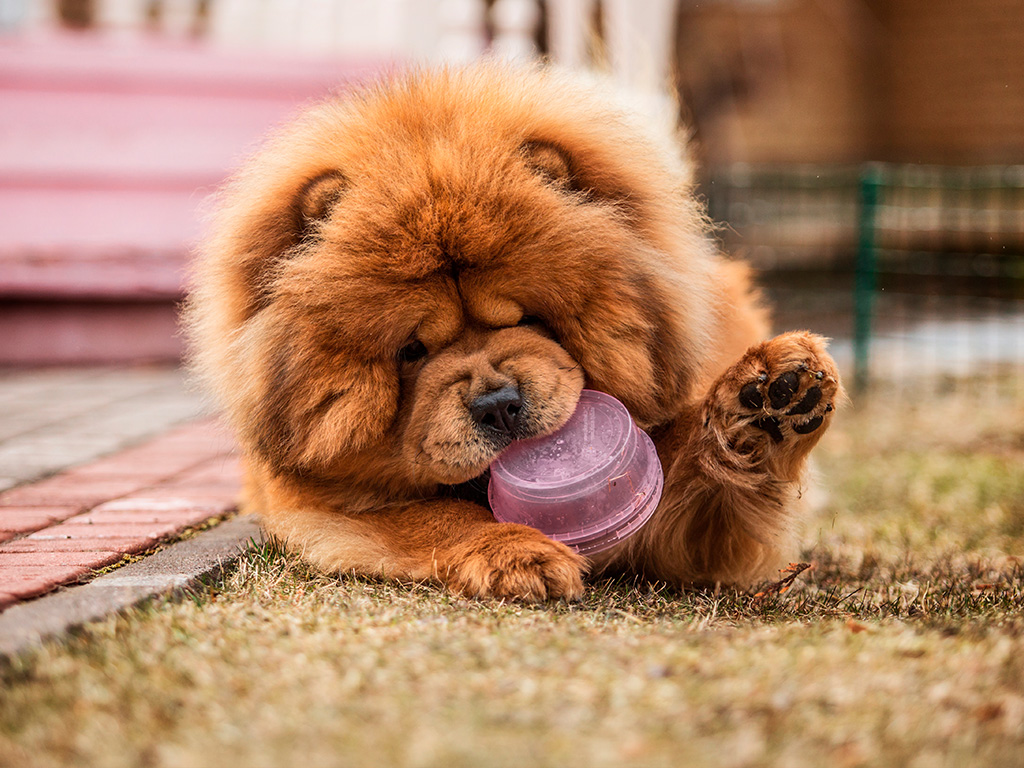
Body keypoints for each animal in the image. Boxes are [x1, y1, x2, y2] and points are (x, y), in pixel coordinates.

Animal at [186, 63, 839, 602]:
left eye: (526, 318)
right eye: (411, 351)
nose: (497, 405)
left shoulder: (680, 526)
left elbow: (690, 463)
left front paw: (765, 402)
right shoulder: (319, 504)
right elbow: (436, 517)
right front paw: (518, 555)